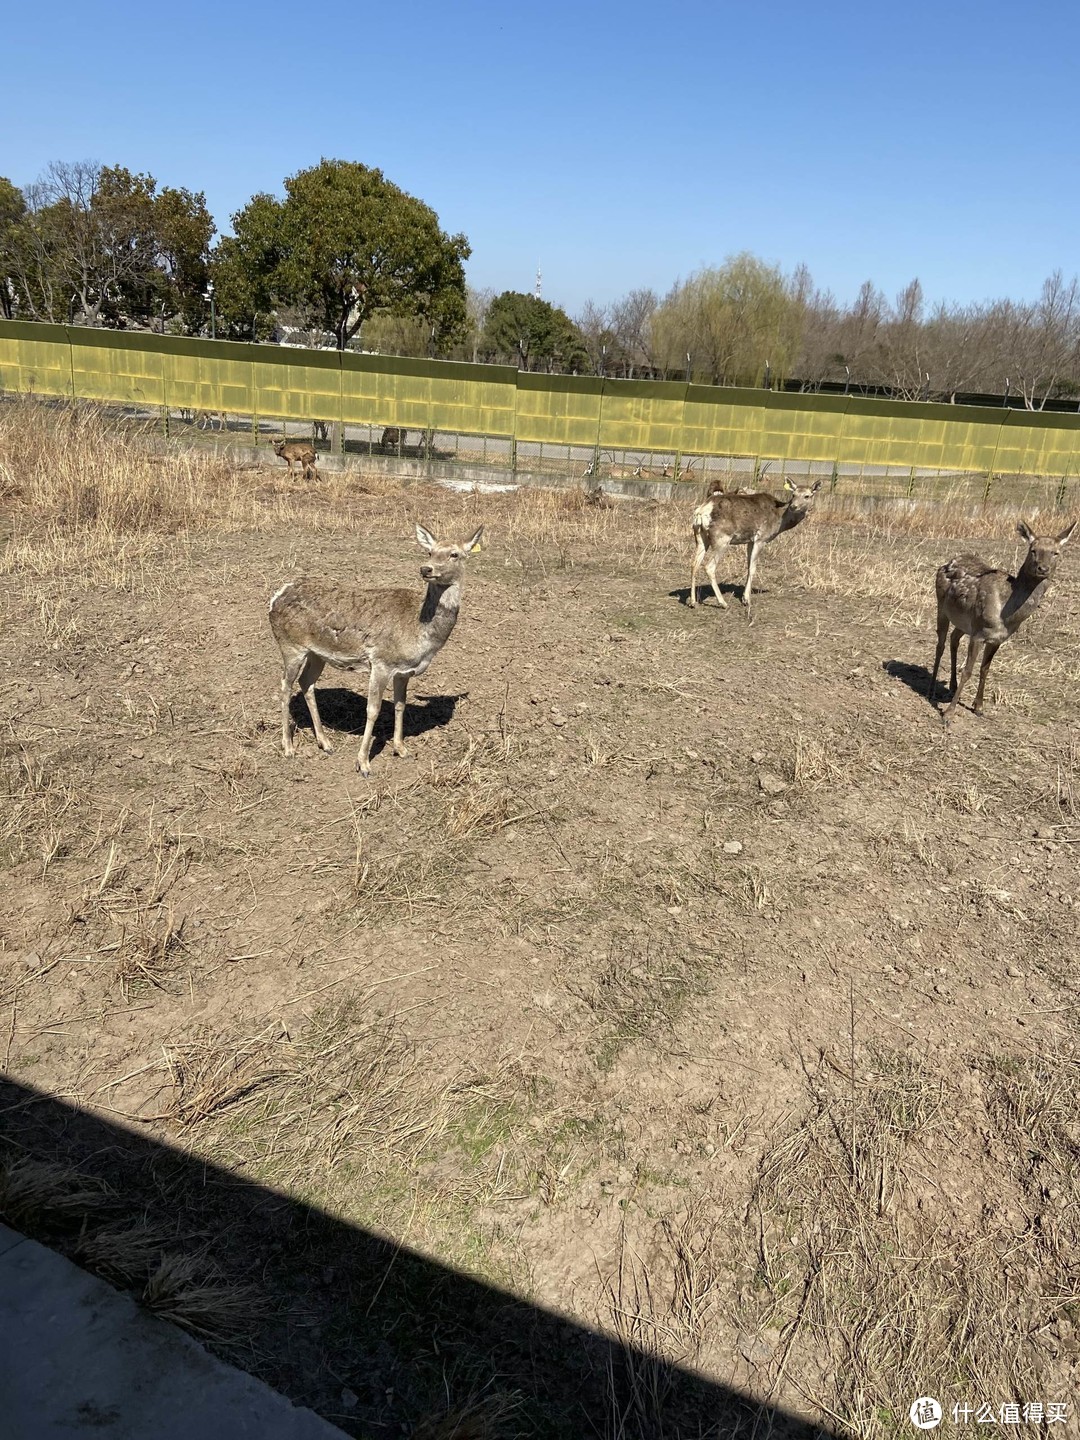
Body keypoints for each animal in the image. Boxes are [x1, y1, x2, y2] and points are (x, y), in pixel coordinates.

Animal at [269, 524, 489, 777]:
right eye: (430, 552)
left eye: (455, 554)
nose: (426, 569)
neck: (421, 632)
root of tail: (276, 596)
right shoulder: (381, 662)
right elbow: (373, 709)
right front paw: (363, 763)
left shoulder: (404, 671)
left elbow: (400, 705)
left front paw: (401, 749)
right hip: (290, 645)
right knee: (285, 685)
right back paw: (288, 747)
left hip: (317, 654)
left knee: (306, 683)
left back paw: (325, 742)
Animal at [688, 472, 823, 607]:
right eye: (793, 494)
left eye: (807, 496)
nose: (794, 506)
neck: (780, 521)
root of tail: (702, 511)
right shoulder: (761, 539)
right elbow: (753, 568)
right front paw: (747, 600)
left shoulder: (750, 541)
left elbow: (748, 566)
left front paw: (744, 597)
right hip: (722, 538)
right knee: (709, 567)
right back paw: (723, 603)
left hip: (700, 536)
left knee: (694, 564)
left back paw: (693, 602)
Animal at [933, 515, 1077, 720]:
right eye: (1033, 550)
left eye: (1056, 553)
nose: (1043, 568)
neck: (1006, 614)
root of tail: (947, 562)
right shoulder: (979, 633)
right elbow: (968, 671)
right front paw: (948, 714)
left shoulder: (997, 638)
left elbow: (985, 669)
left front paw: (979, 707)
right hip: (942, 607)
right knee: (941, 644)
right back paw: (931, 689)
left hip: (964, 622)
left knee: (954, 638)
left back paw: (952, 685)